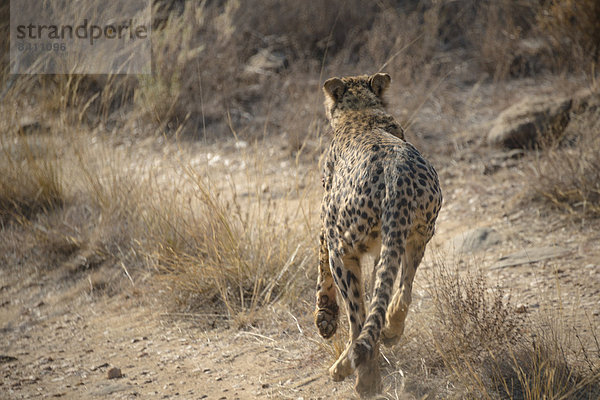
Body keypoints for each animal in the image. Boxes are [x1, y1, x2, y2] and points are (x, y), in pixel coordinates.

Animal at [314, 72, 440, 396]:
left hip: (344, 249)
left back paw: (360, 377)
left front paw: (324, 318)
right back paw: (391, 331)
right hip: (416, 236)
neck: (361, 111)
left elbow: (321, 264)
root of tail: (397, 174)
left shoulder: (326, 223)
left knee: (358, 320)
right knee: (401, 290)